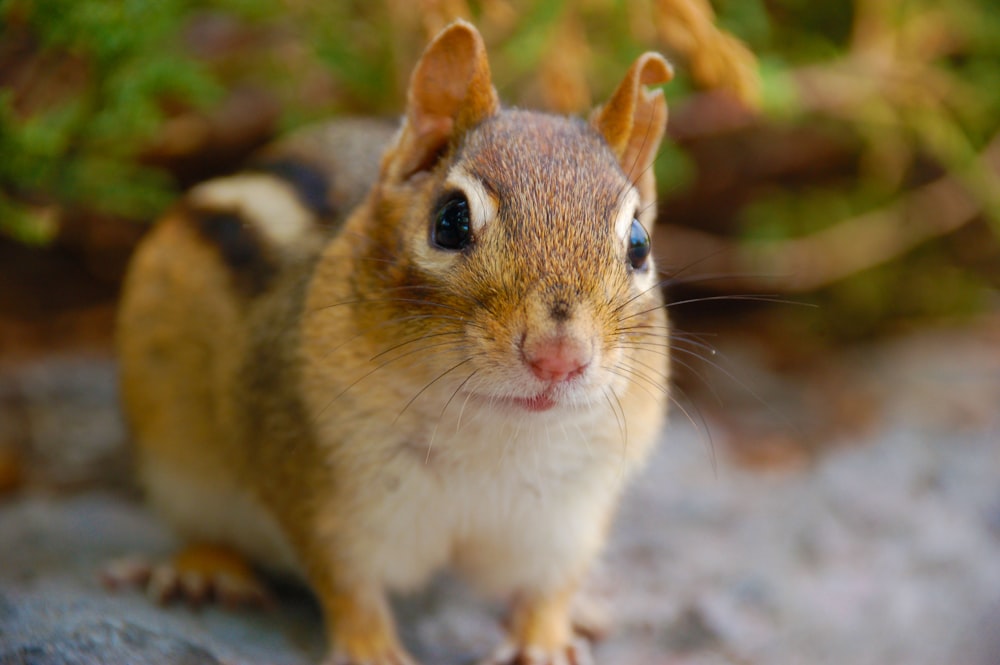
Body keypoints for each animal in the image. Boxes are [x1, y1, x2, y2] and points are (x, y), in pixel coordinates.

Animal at [115, 19, 672, 664]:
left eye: (639, 244)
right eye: (451, 221)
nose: (559, 358)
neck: (494, 436)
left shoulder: (569, 516)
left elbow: (550, 586)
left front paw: (545, 640)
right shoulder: (323, 493)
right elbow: (346, 584)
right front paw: (370, 650)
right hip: (176, 459)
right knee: (201, 524)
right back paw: (206, 570)